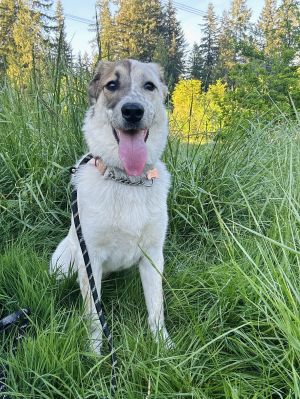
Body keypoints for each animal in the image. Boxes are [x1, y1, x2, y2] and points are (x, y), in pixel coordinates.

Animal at [49, 59, 171, 354]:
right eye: (111, 85)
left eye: (149, 86)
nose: (133, 111)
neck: (127, 180)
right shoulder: (90, 259)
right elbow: (94, 315)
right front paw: (95, 354)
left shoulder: (153, 256)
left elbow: (156, 308)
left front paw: (164, 348)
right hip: (65, 262)